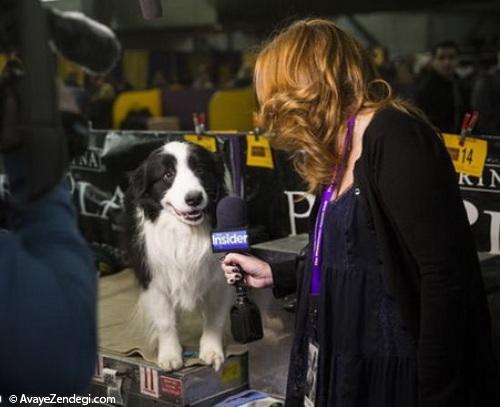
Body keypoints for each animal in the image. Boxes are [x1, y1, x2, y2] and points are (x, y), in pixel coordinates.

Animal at [125, 141, 234, 372]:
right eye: (168, 175)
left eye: (200, 170)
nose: (194, 198)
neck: (186, 231)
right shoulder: (153, 279)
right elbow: (165, 321)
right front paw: (170, 355)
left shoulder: (221, 278)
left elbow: (215, 317)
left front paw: (212, 351)